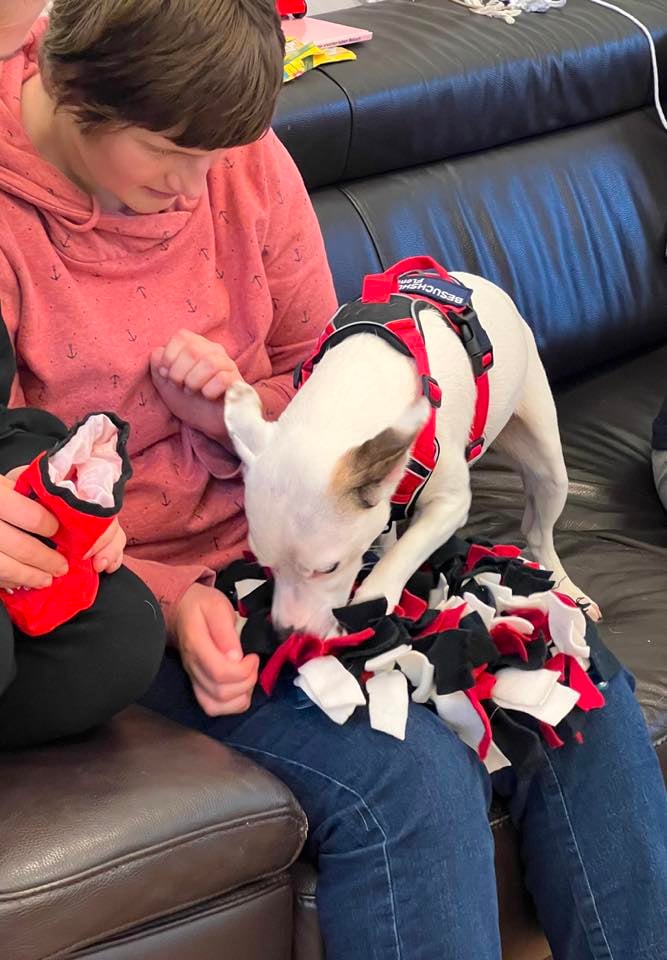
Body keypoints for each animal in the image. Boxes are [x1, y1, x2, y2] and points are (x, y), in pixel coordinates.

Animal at [224, 259, 600, 638]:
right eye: (264, 563)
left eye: (328, 568)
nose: (286, 633)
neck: (349, 395)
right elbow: (386, 540)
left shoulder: (450, 504)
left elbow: (400, 556)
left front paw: (375, 600)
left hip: (548, 465)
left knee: (539, 533)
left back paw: (568, 590)